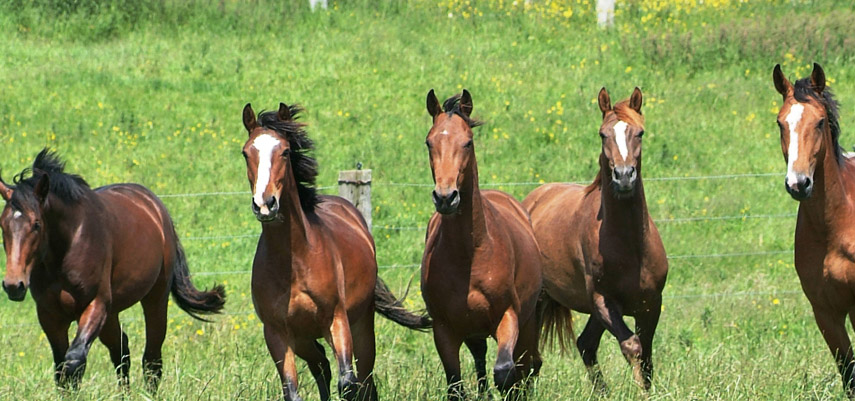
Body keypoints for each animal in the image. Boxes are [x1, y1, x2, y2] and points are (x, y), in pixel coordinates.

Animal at [0, 148, 227, 390]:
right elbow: (62, 370)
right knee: (121, 351)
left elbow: (74, 361)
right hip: (112, 313)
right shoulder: (49, 314)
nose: (13, 285)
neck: (69, 246)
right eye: (2, 225)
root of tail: (156, 207)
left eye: (36, 224)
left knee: (152, 357)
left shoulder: (95, 304)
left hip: (154, 298)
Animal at [241, 101, 432, 398]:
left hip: (361, 326)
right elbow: (293, 391)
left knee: (364, 379)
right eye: (245, 153)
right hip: (304, 338)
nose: (265, 204)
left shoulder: (336, 320)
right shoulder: (277, 334)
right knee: (321, 365)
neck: (294, 262)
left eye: (285, 151)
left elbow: (348, 383)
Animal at [422, 89, 544, 398]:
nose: (446, 197)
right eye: (429, 142)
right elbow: (456, 385)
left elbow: (505, 372)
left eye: (467, 142)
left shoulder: (508, 316)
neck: (470, 254)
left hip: (527, 323)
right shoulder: (444, 329)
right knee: (480, 360)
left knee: (527, 364)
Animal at [524, 87, 672, 390]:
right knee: (530, 357)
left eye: (640, 133)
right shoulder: (603, 301)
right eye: (603, 134)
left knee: (585, 345)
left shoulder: (651, 304)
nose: (624, 176)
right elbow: (632, 346)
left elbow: (647, 357)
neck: (631, 247)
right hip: (539, 302)